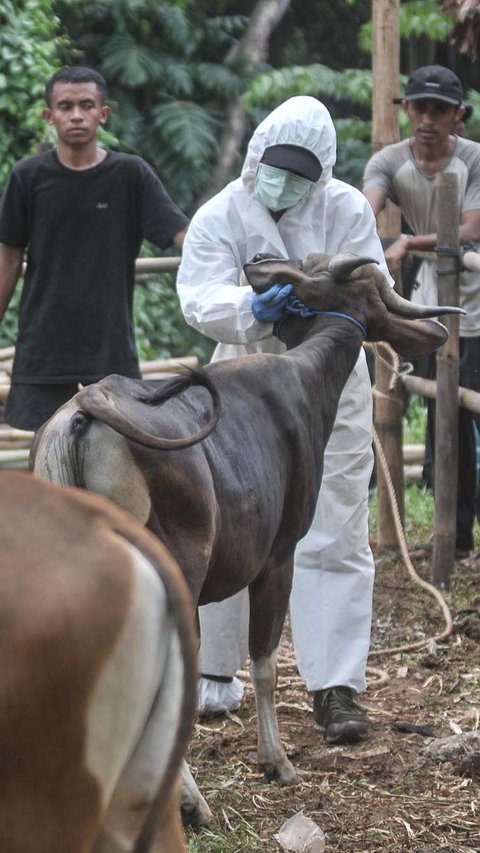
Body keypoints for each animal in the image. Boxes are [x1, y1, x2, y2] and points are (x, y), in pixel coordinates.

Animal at [29, 251, 462, 804]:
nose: (259, 259)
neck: (306, 379)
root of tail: (86, 411)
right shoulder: (279, 556)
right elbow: (265, 662)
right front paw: (276, 761)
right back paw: (190, 801)